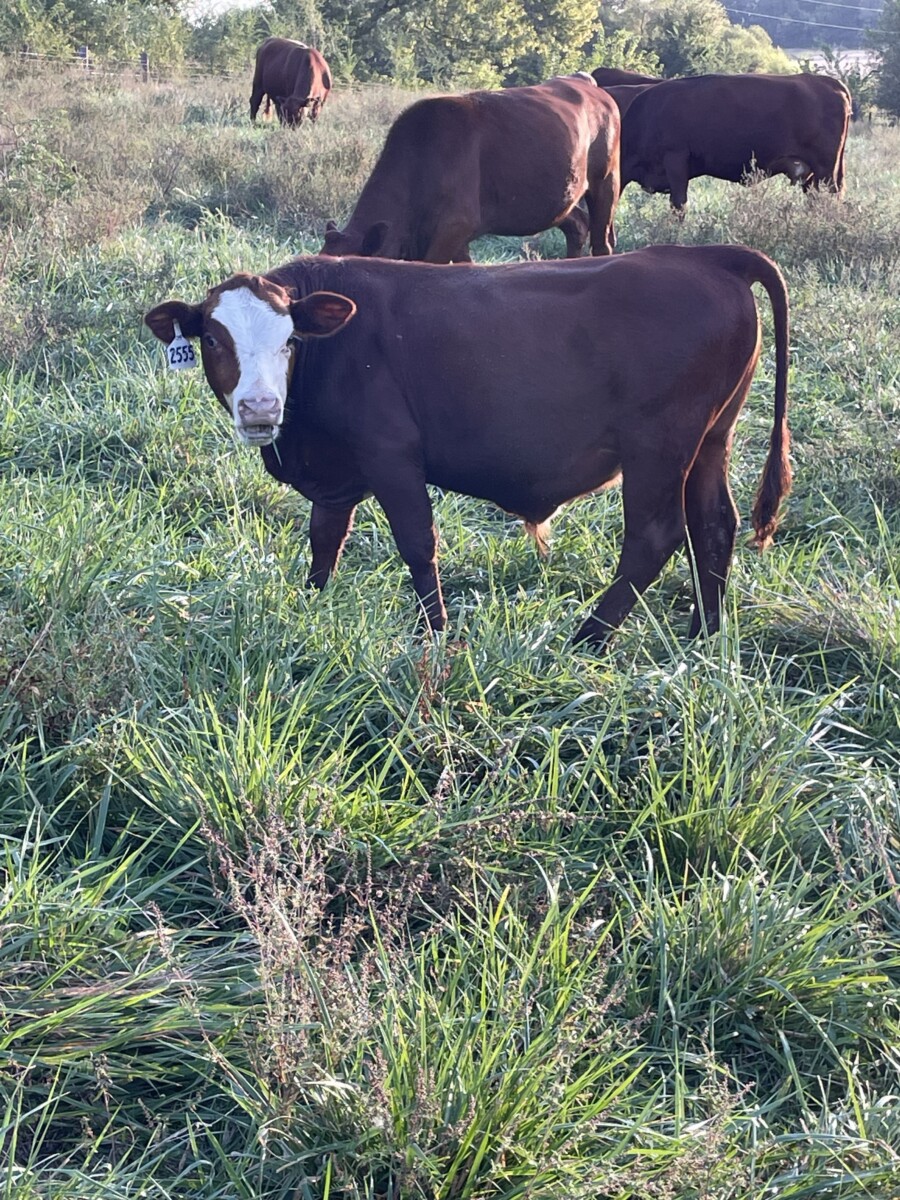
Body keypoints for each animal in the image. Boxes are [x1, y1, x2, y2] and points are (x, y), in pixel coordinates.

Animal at [144, 246, 790, 651]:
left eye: (289, 341)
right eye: (214, 340)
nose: (260, 409)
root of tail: (703, 254)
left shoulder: (391, 454)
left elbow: (417, 544)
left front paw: (435, 634)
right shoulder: (337, 471)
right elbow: (325, 540)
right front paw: (310, 605)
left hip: (657, 448)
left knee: (654, 538)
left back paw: (586, 639)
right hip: (710, 441)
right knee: (713, 526)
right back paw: (704, 635)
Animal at [320, 74, 621, 262]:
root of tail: (590, 86)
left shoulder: (455, 225)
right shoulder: (456, 236)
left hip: (606, 182)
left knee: (601, 242)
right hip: (556, 198)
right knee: (577, 225)